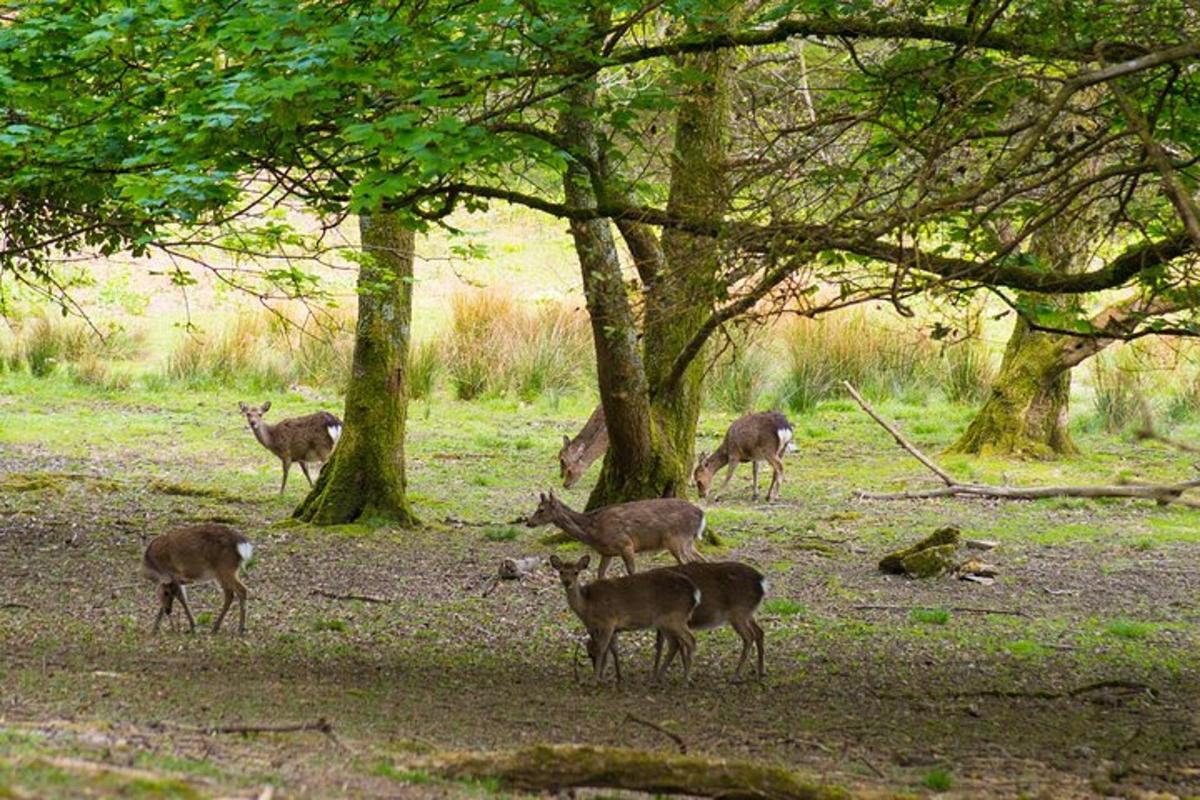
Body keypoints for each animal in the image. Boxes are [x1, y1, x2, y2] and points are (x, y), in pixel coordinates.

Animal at [523, 491, 700, 578]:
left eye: (541, 510)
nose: (528, 522)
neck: (593, 530)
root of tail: (701, 514)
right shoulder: (607, 552)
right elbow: (600, 574)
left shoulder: (626, 544)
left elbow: (632, 572)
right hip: (688, 542)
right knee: (700, 559)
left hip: (676, 539)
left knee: (688, 562)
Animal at [549, 554, 700, 686]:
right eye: (561, 571)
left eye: (576, 572)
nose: (567, 582)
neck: (587, 606)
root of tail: (695, 592)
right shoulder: (609, 628)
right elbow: (611, 650)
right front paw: (610, 677)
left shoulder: (608, 621)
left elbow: (601, 649)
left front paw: (594, 680)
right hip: (665, 622)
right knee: (675, 644)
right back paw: (658, 678)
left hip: (676, 618)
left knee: (691, 640)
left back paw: (686, 681)